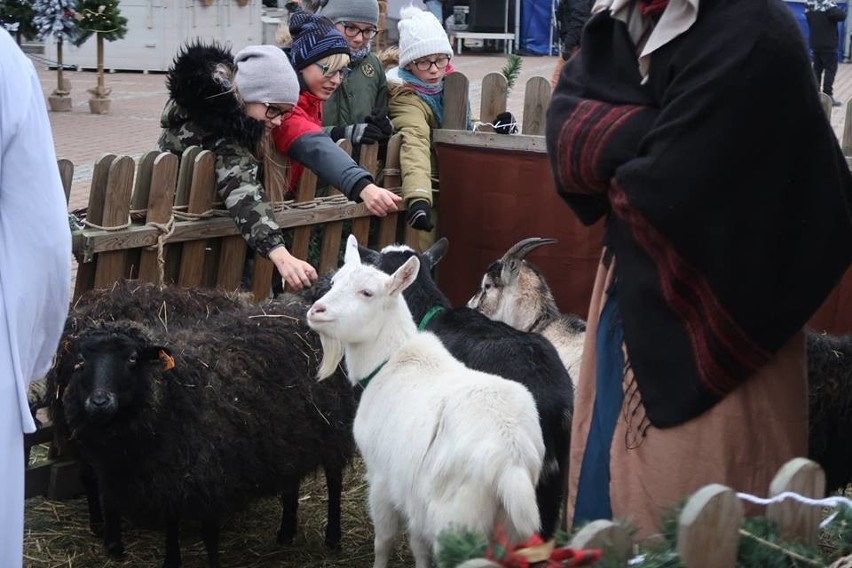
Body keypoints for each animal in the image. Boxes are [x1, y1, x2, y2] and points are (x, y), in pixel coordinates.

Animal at [310, 234, 544, 568]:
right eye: (335, 282)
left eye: (367, 292)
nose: (316, 310)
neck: (391, 361)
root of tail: (511, 459)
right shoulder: (414, 493)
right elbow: (419, 546)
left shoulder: (382, 478)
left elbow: (384, 540)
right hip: (507, 528)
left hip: (456, 522)